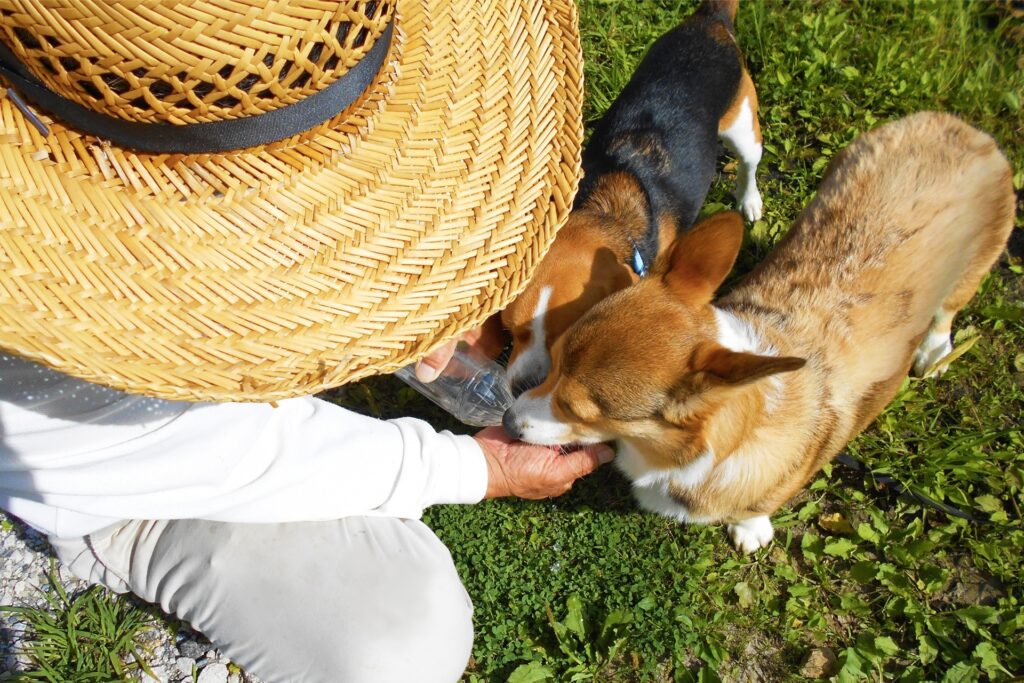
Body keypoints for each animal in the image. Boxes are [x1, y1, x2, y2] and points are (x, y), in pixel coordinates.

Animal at [503, 0, 761, 393]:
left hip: (743, 125)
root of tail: (710, 21)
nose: (523, 386)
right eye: (512, 330)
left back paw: (749, 200)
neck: (603, 213)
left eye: (566, 338)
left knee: (748, 164)